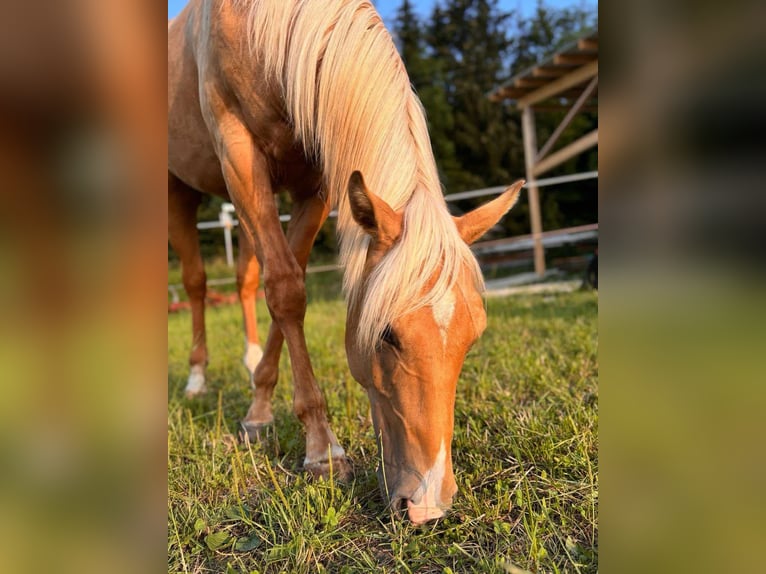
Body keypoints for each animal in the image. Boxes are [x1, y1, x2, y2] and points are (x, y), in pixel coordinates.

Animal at [169, 0, 524, 528]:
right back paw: (196, 378)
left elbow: (287, 284)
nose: (428, 505)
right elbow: (286, 290)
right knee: (195, 282)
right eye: (387, 335)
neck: (256, 25)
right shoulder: (238, 152)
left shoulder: (314, 179)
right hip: (181, 190)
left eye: (473, 334)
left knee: (246, 278)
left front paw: (260, 410)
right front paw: (323, 450)